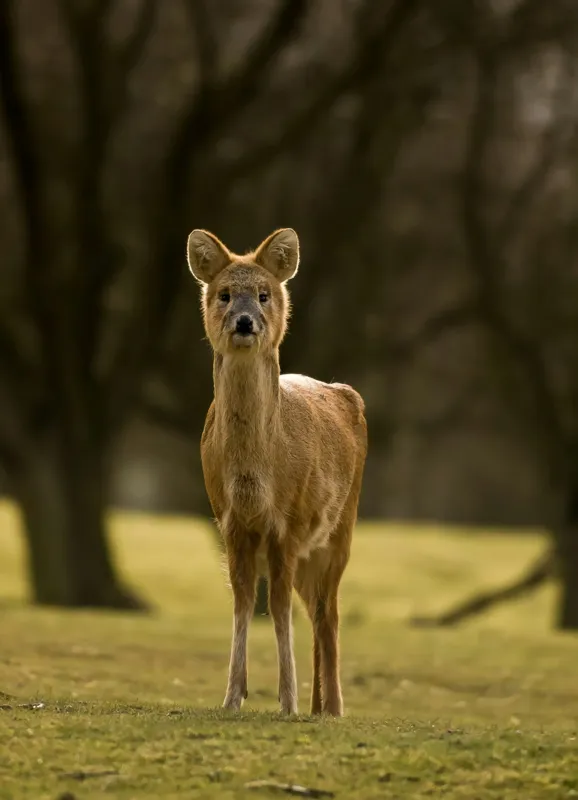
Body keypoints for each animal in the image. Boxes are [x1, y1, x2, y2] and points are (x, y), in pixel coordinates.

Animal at [186, 227, 367, 716]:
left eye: (264, 294)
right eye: (225, 294)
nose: (245, 322)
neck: (256, 476)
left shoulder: (287, 520)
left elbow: (279, 607)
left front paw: (286, 701)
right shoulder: (228, 520)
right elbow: (244, 601)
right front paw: (233, 697)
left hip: (341, 527)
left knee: (328, 612)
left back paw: (333, 707)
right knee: (316, 609)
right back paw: (319, 705)